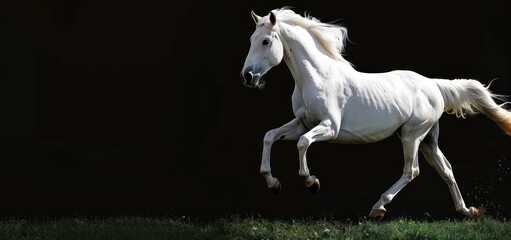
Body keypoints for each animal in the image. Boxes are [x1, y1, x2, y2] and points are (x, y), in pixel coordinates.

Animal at [240, 7, 511, 218]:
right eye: (251, 39)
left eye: (266, 41)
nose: (247, 77)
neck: (316, 77)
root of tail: (434, 84)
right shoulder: (302, 123)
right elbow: (269, 136)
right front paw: (273, 183)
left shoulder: (329, 127)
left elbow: (303, 144)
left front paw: (312, 183)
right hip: (428, 139)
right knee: (446, 169)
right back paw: (465, 210)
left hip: (412, 136)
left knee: (411, 171)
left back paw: (379, 207)